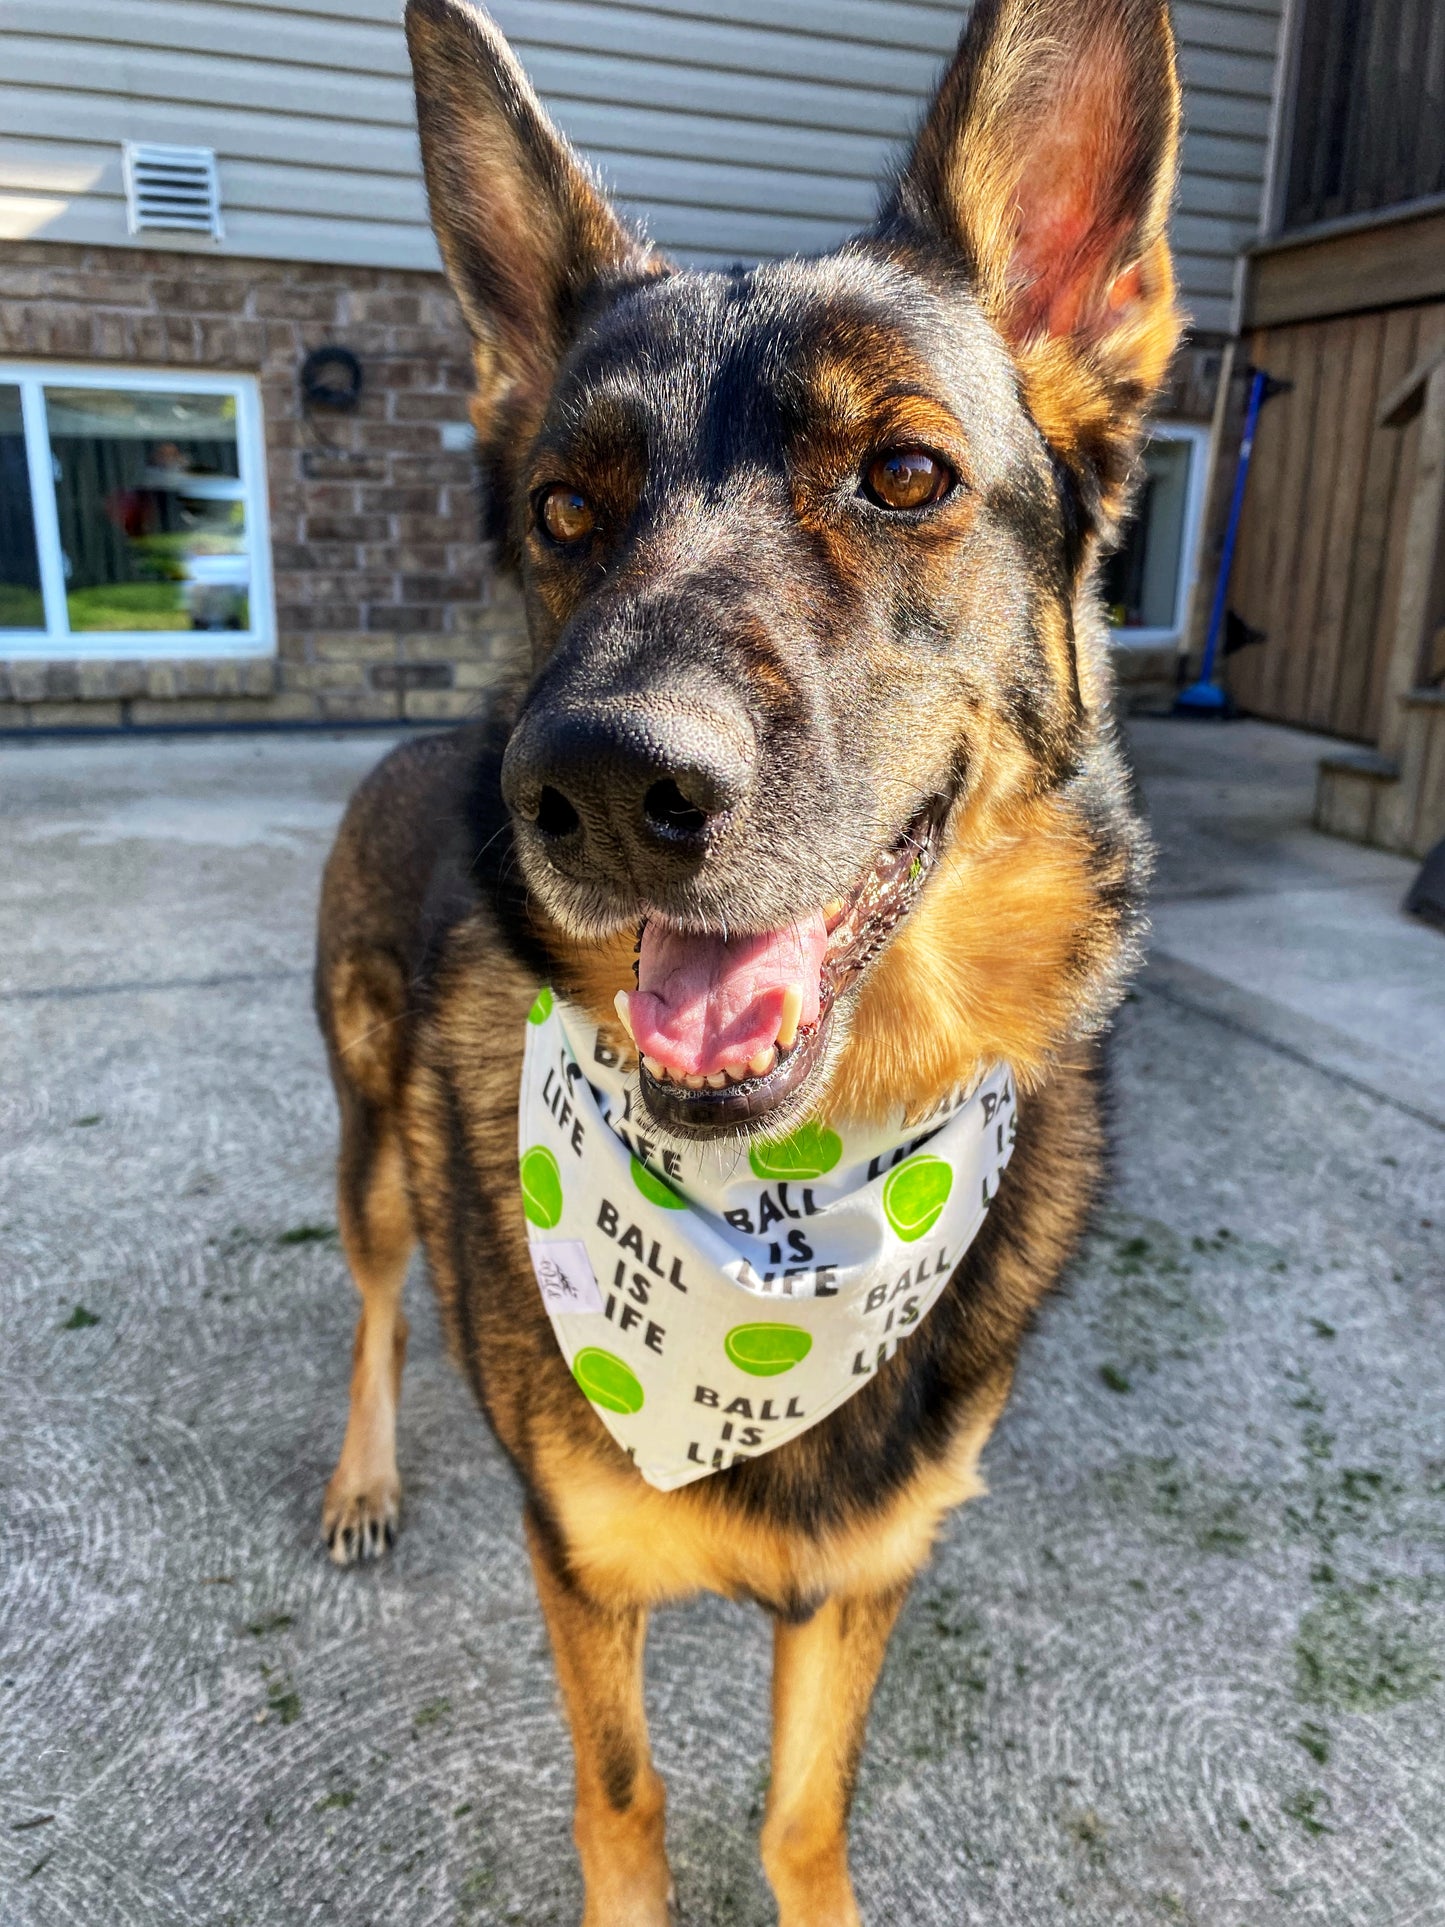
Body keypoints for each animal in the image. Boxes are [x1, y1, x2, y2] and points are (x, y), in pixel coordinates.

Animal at [314, 3, 1179, 1911]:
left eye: (906, 474)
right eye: (565, 511)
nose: (593, 786)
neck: (799, 1198)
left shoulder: (864, 1576)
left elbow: (798, 1812)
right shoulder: (581, 1574)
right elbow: (625, 1798)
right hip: (369, 1141)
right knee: (380, 1291)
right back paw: (363, 1470)